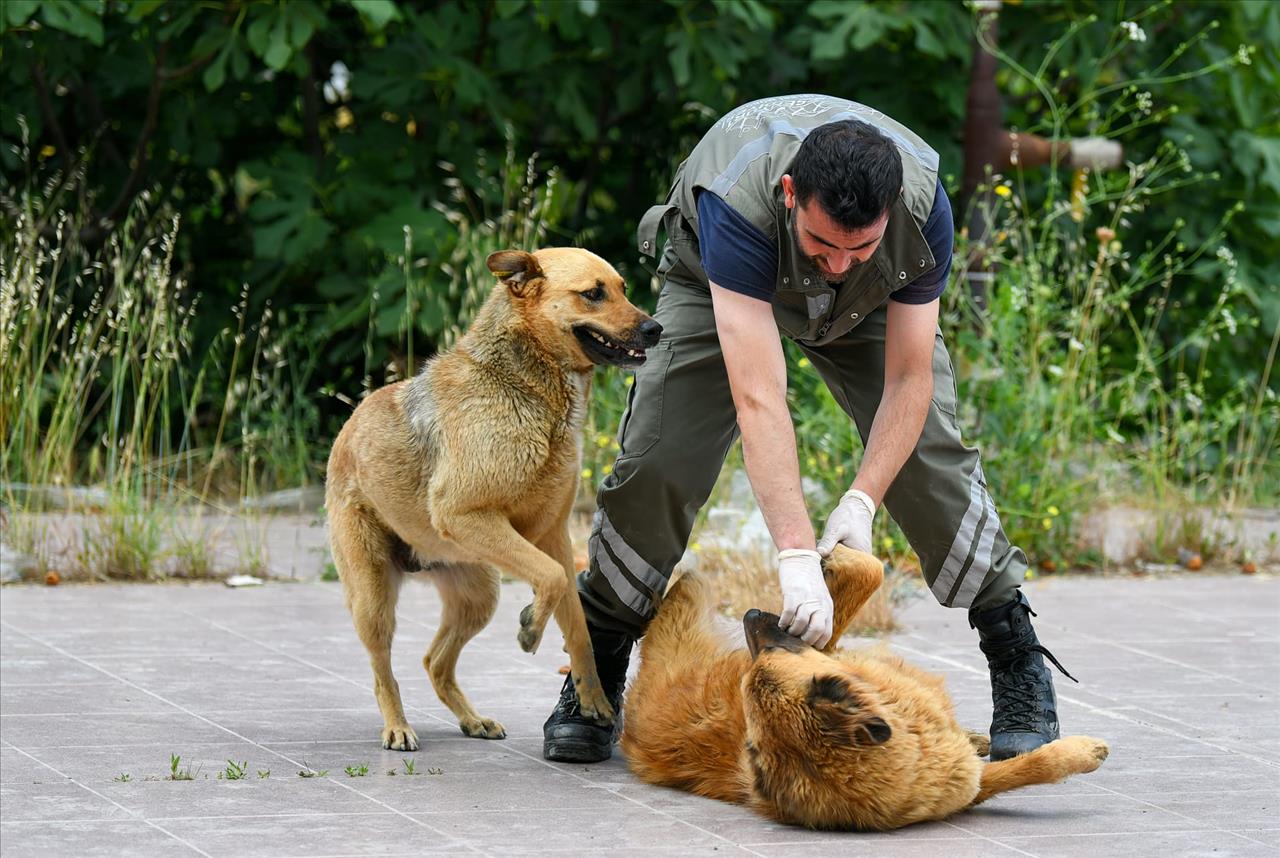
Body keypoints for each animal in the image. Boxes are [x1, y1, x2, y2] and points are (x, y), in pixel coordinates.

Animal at [622, 550, 1111, 834]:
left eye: (772, 649)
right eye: (763, 660)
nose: (752, 616)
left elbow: (866, 572)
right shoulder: (967, 784)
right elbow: (1033, 767)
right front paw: (1083, 752)